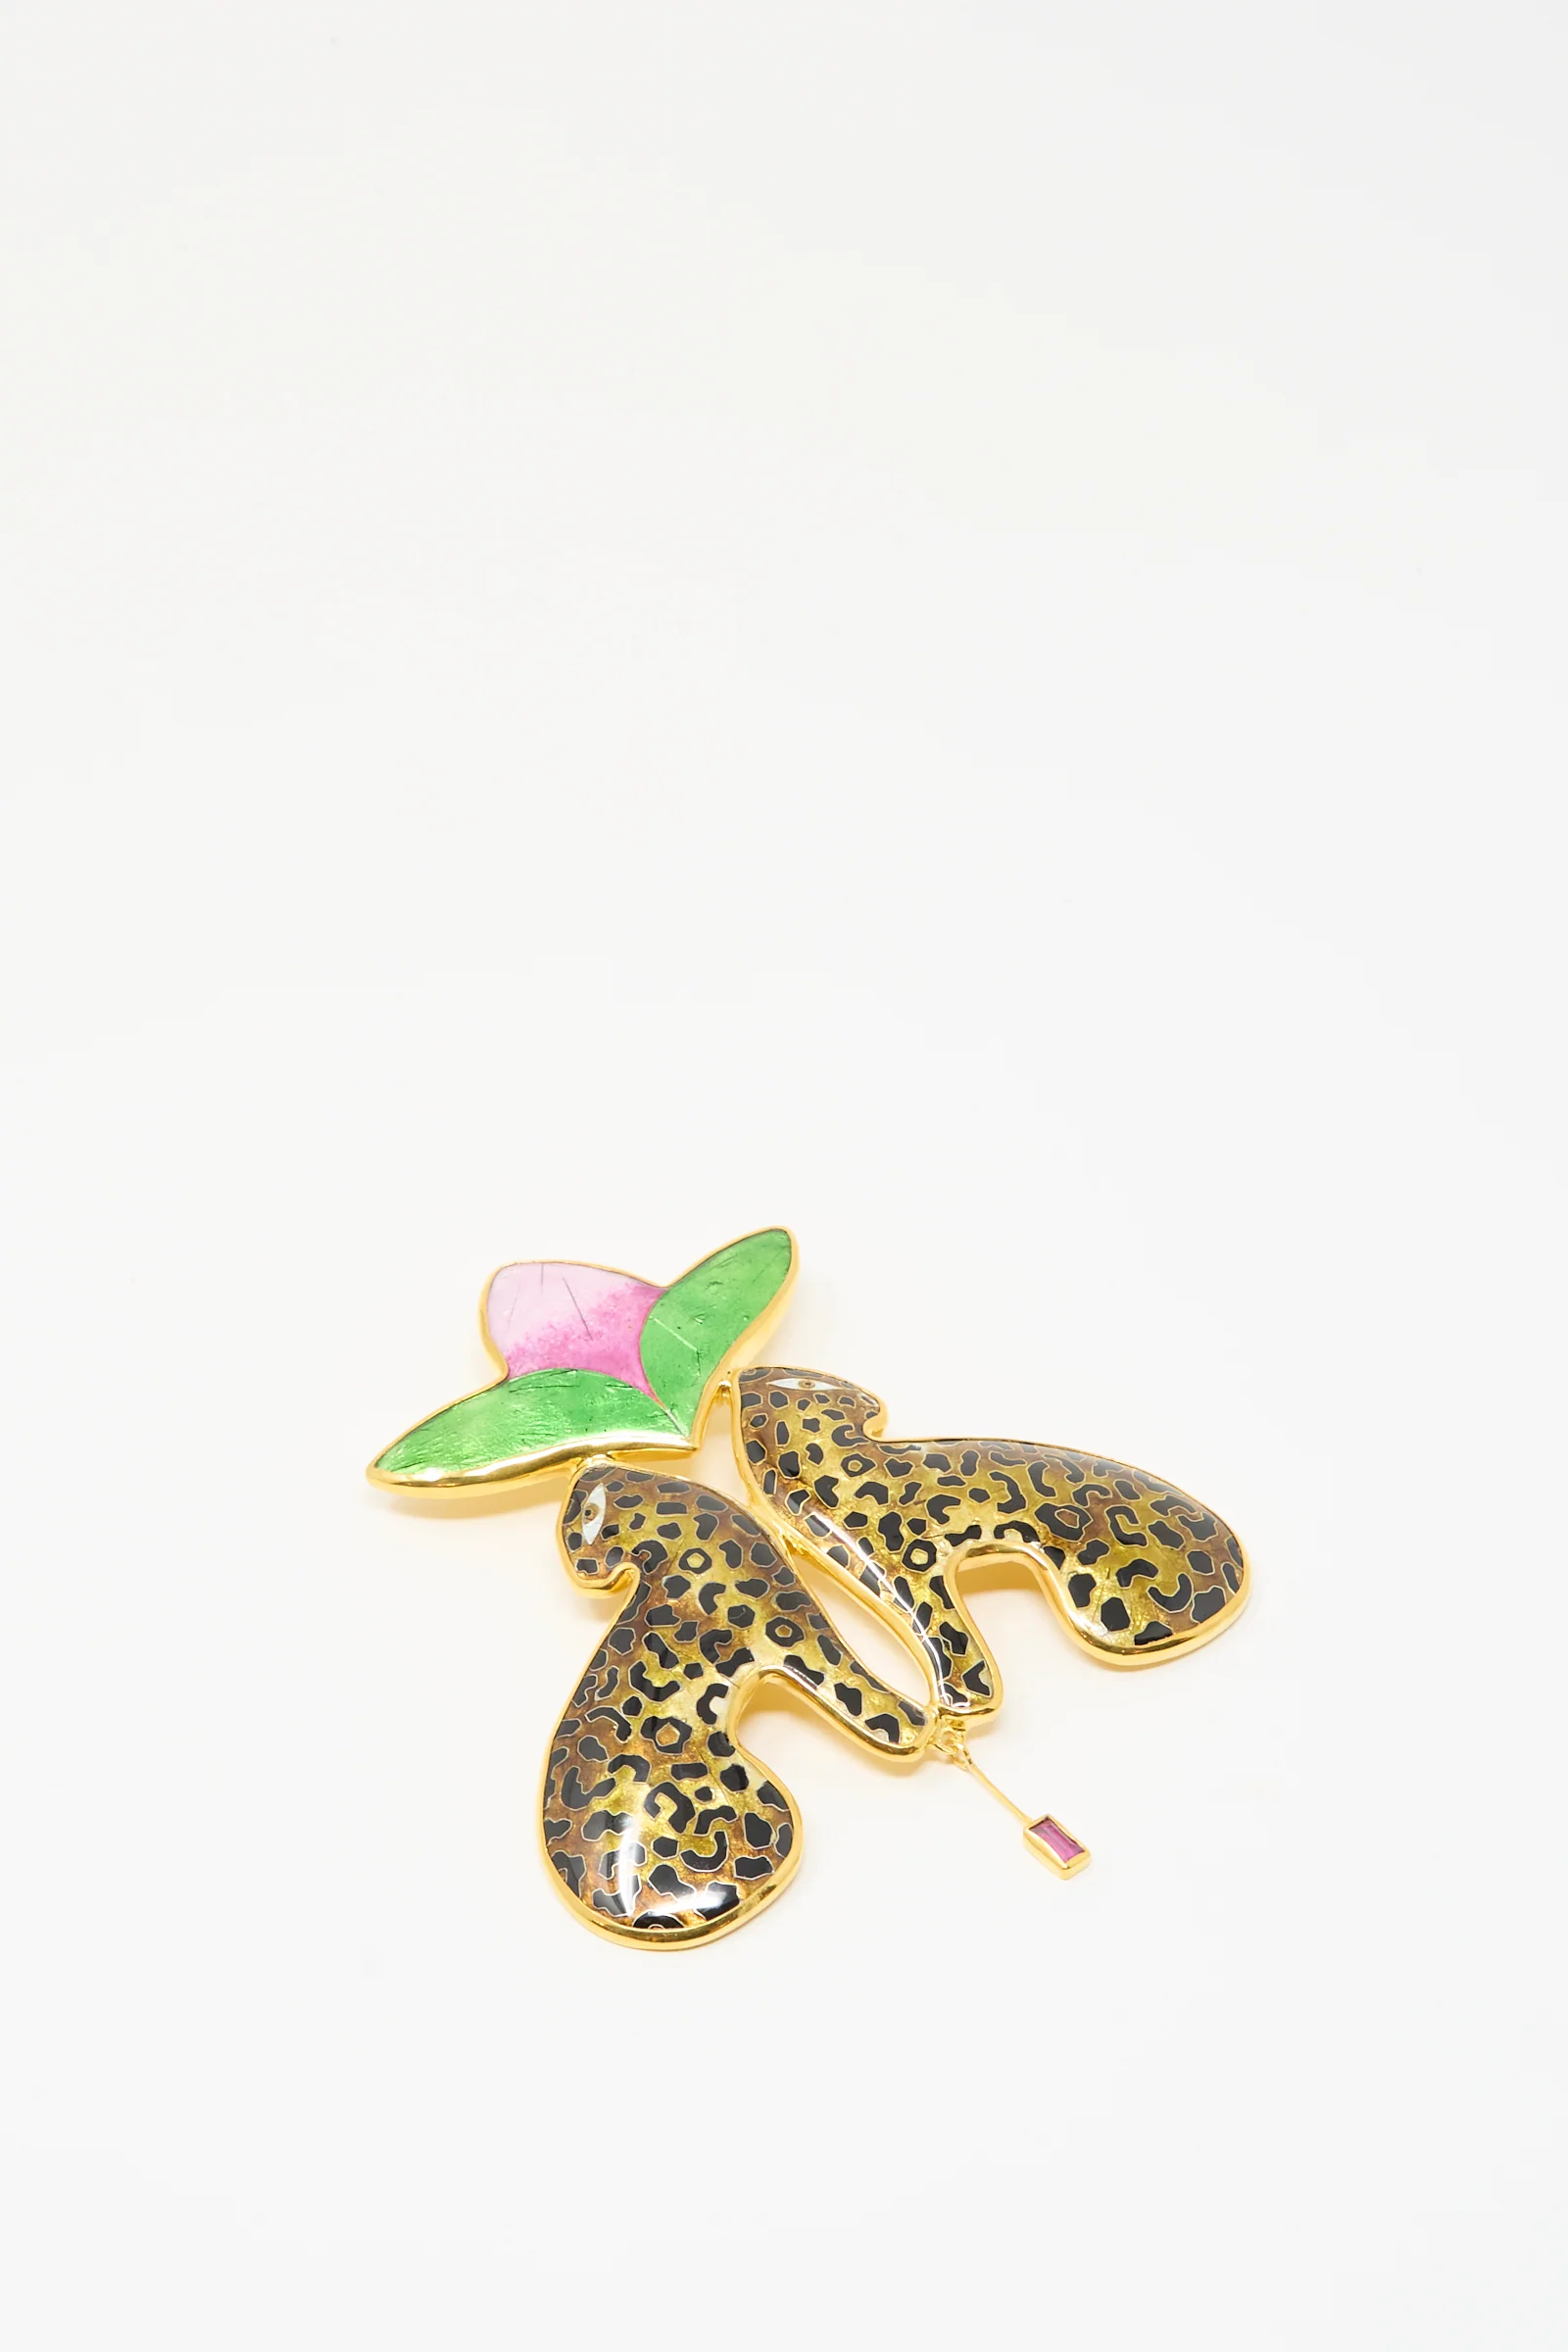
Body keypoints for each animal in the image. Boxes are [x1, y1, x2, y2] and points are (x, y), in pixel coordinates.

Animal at [542, 1456, 931, 1946]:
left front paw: (924, 1724)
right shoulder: (794, 1635)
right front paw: (921, 1725)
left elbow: (854, 1687)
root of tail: (629, 1901)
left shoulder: (792, 1625)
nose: (584, 1565)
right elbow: (853, 1690)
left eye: (582, 1524)